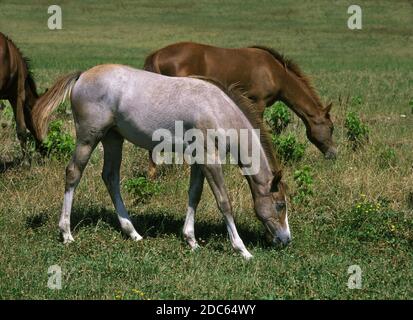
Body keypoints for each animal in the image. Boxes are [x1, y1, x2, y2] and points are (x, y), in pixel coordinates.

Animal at [31, 65, 290, 260]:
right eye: (280, 205)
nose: (286, 239)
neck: (218, 110)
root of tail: (83, 75)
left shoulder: (198, 159)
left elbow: (194, 195)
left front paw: (191, 240)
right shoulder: (210, 158)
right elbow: (224, 202)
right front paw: (242, 249)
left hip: (113, 138)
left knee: (110, 177)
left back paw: (133, 232)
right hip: (88, 137)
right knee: (73, 173)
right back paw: (66, 233)